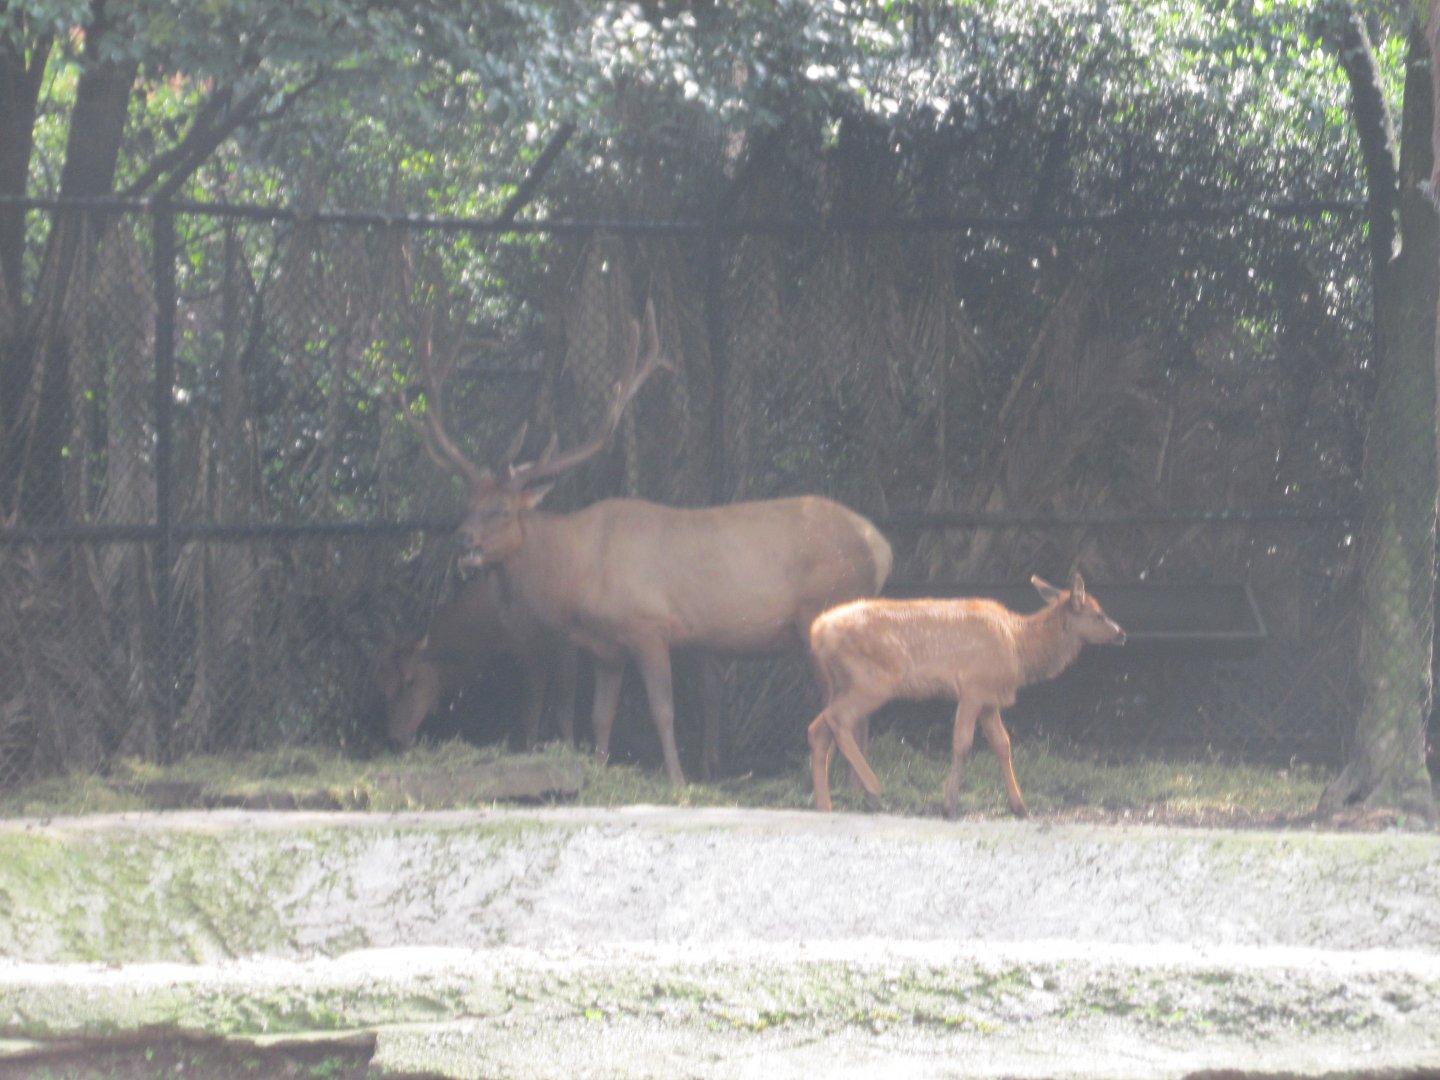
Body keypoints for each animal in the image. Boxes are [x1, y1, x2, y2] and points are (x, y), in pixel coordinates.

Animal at [374, 572, 578, 752]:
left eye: (410, 681)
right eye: (384, 687)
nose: (395, 740)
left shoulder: (552, 644)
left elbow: (554, 701)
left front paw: (563, 746)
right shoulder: (532, 650)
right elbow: (539, 703)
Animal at [401, 300, 893, 785]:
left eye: (503, 510)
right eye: (468, 504)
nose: (463, 541)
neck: (580, 572)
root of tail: (880, 545)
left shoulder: (649, 625)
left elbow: (663, 711)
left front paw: (678, 781)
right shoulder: (606, 647)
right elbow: (600, 716)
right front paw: (599, 772)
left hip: (825, 608)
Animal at [806, 571, 1125, 818]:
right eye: (1098, 614)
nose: (1121, 632)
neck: (1019, 649)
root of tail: (817, 632)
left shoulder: (990, 699)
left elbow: (1003, 745)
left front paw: (1020, 807)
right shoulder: (973, 688)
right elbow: (962, 743)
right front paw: (949, 806)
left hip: (841, 683)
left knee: (818, 728)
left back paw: (825, 805)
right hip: (872, 681)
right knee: (836, 721)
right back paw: (872, 790)